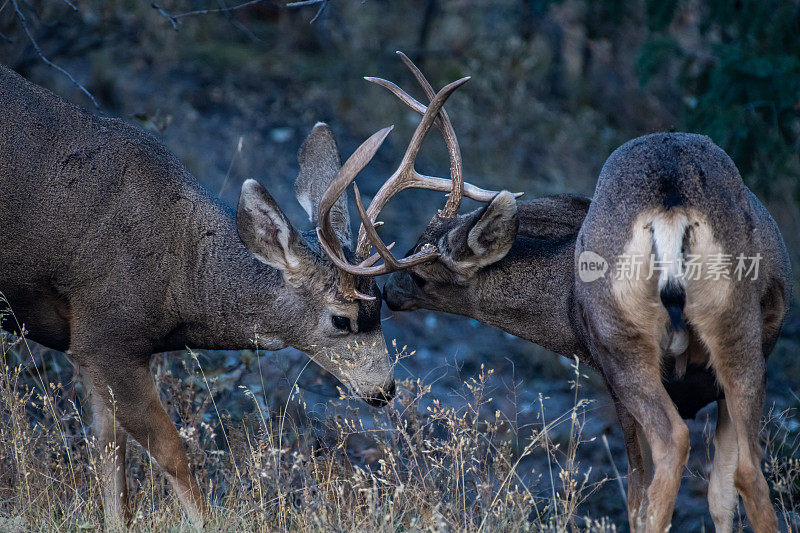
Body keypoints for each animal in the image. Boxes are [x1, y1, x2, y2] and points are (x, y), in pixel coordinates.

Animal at [0, 61, 500, 524]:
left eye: (380, 310)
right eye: (341, 319)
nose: (384, 390)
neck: (182, 272)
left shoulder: (100, 352)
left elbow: (110, 458)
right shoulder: (103, 334)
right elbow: (170, 453)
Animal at [324, 53, 788, 528]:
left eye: (421, 275)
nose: (387, 293)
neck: (564, 307)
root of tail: (672, 205)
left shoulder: (608, 371)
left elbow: (637, 493)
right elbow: (719, 493)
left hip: (625, 342)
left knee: (670, 449)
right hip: (740, 332)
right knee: (750, 473)